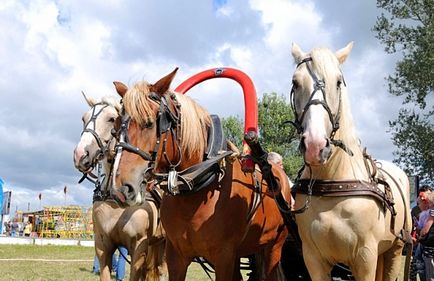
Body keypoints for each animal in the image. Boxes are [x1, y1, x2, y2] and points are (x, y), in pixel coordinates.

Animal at [73, 92, 165, 280]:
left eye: (111, 119)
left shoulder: (139, 248)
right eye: (84, 118)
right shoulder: (102, 245)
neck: (115, 199)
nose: (80, 155)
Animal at [109, 68, 292, 280]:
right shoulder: (176, 256)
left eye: (148, 123)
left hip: (273, 246)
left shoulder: (224, 257)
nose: (121, 189)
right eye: (115, 128)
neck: (197, 187)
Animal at [290, 42, 412, 280]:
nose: (315, 145)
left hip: (395, 249)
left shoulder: (365, 257)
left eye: (338, 82)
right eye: (295, 82)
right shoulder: (313, 259)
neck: (333, 181)